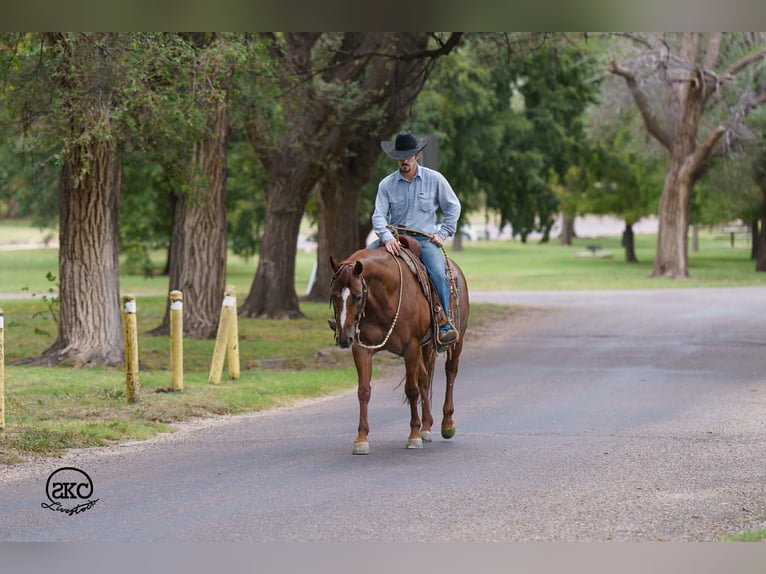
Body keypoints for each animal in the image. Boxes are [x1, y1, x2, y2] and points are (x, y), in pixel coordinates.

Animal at [329, 244, 470, 455]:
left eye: (358, 296)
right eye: (333, 295)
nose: (344, 338)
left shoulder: (410, 347)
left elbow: (411, 389)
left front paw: (414, 436)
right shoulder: (361, 348)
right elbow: (363, 390)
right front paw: (361, 439)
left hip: (456, 339)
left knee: (450, 372)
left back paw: (447, 424)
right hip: (425, 346)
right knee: (424, 379)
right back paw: (426, 427)